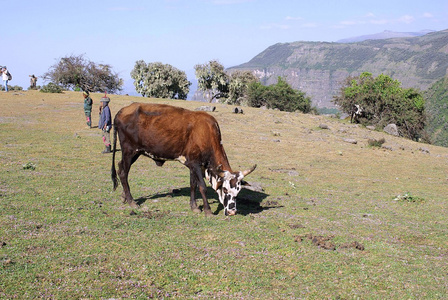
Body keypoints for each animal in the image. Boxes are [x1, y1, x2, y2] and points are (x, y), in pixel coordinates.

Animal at [110, 103, 258, 216]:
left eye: (238, 191)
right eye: (226, 190)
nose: (232, 212)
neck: (207, 133)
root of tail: (123, 110)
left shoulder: (193, 164)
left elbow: (193, 184)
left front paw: (194, 206)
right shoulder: (196, 164)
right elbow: (202, 187)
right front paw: (207, 210)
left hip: (134, 153)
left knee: (121, 168)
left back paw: (124, 196)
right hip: (129, 151)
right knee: (123, 172)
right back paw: (131, 201)